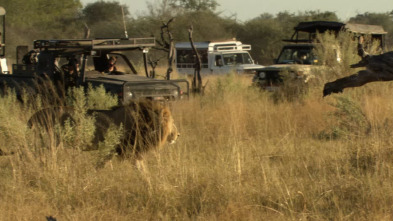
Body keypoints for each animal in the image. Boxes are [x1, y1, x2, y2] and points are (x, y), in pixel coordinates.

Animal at [28, 100, 179, 164]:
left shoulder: (125, 152)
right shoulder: (120, 150)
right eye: (171, 122)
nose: (178, 135)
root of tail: (35, 114)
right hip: (51, 143)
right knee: (37, 156)